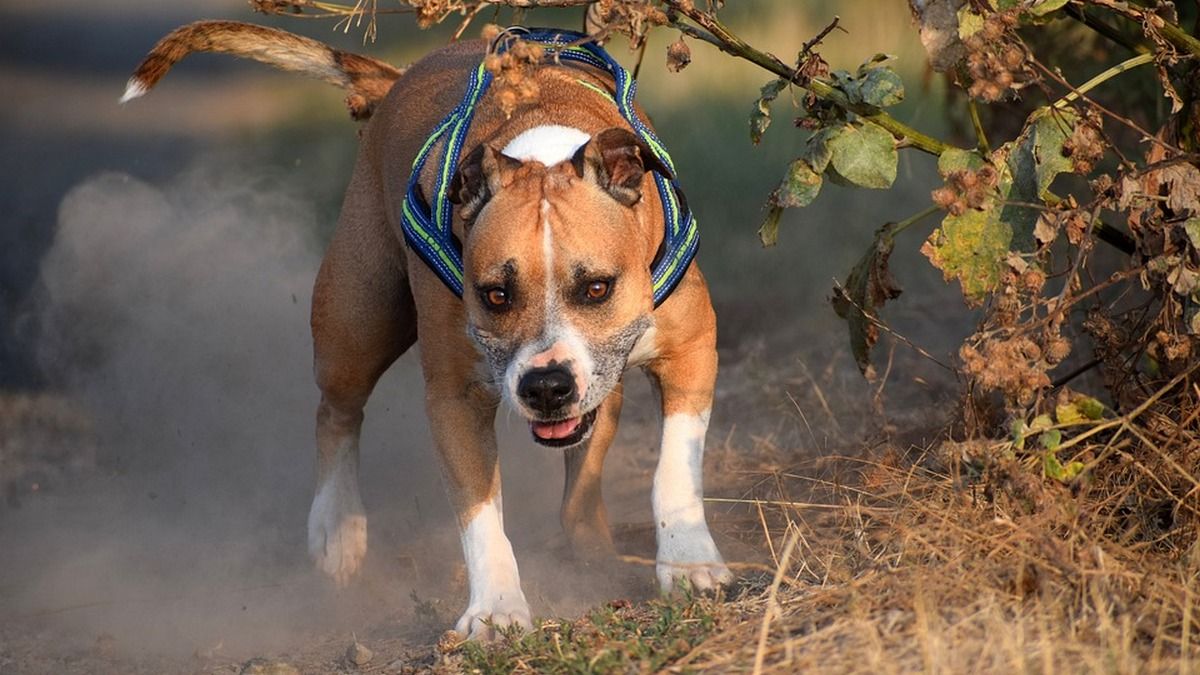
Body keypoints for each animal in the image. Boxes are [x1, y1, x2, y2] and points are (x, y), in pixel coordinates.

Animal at [124, 18, 729, 634]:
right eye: (495, 295)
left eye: (598, 288)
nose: (545, 386)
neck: (540, 146)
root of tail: (398, 78)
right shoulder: (455, 398)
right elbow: (479, 513)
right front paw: (496, 609)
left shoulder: (692, 349)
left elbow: (675, 468)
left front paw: (688, 563)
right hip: (356, 324)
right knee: (336, 412)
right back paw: (337, 528)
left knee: (582, 477)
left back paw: (591, 552)